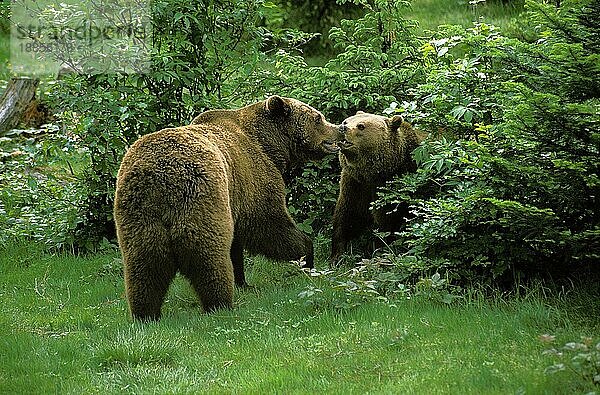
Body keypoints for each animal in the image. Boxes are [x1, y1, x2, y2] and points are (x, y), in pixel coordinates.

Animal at [112, 96, 338, 322]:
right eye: (318, 118)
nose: (339, 128)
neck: (269, 144)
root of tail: (160, 179)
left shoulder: (235, 199)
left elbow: (236, 244)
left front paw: (243, 281)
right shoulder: (253, 178)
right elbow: (269, 224)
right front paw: (307, 256)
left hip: (138, 215)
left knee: (145, 267)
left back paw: (145, 314)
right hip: (200, 198)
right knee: (208, 257)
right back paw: (219, 303)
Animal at [328, 111, 426, 266]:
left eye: (361, 126)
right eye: (346, 121)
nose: (343, 128)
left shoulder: (390, 186)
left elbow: (387, 223)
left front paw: (378, 253)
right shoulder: (354, 183)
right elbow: (346, 216)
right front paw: (337, 256)